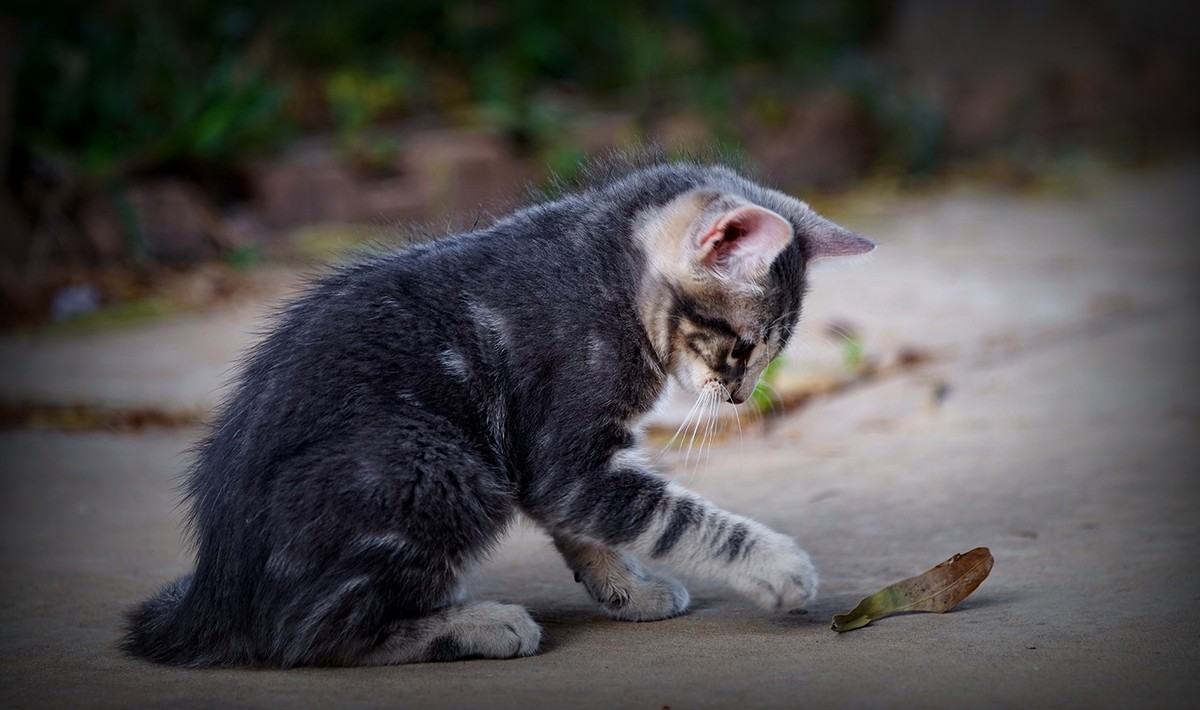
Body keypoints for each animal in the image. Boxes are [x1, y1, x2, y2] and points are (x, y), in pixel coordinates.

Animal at [121, 155, 873, 666]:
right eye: (743, 346)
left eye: (768, 353)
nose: (740, 396)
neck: (604, 266)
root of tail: (216, 589)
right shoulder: (570, 447)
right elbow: (675, 517)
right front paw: (775, 564)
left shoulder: (550, 461)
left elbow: (585, 530)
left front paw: (626, 591)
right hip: (435, 464)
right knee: (306, 632)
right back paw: (472, 625)